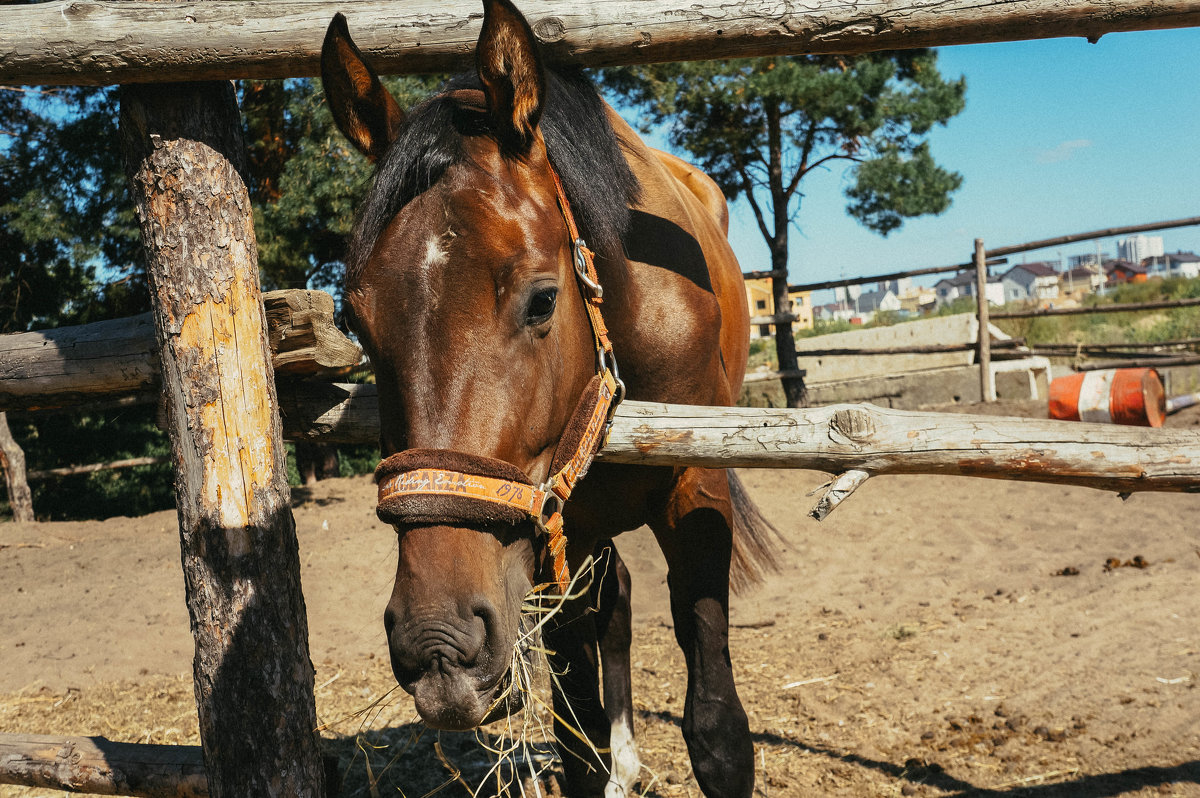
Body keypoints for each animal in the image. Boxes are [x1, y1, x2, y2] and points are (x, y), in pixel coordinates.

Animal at [319, 3, 777, 792]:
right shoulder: (558, 533)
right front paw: (605, 758)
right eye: (356, 320)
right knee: (613, 611)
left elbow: (719, 732)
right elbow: (577, 740)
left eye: (541, 300)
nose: (437, 644)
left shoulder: (698, 487)